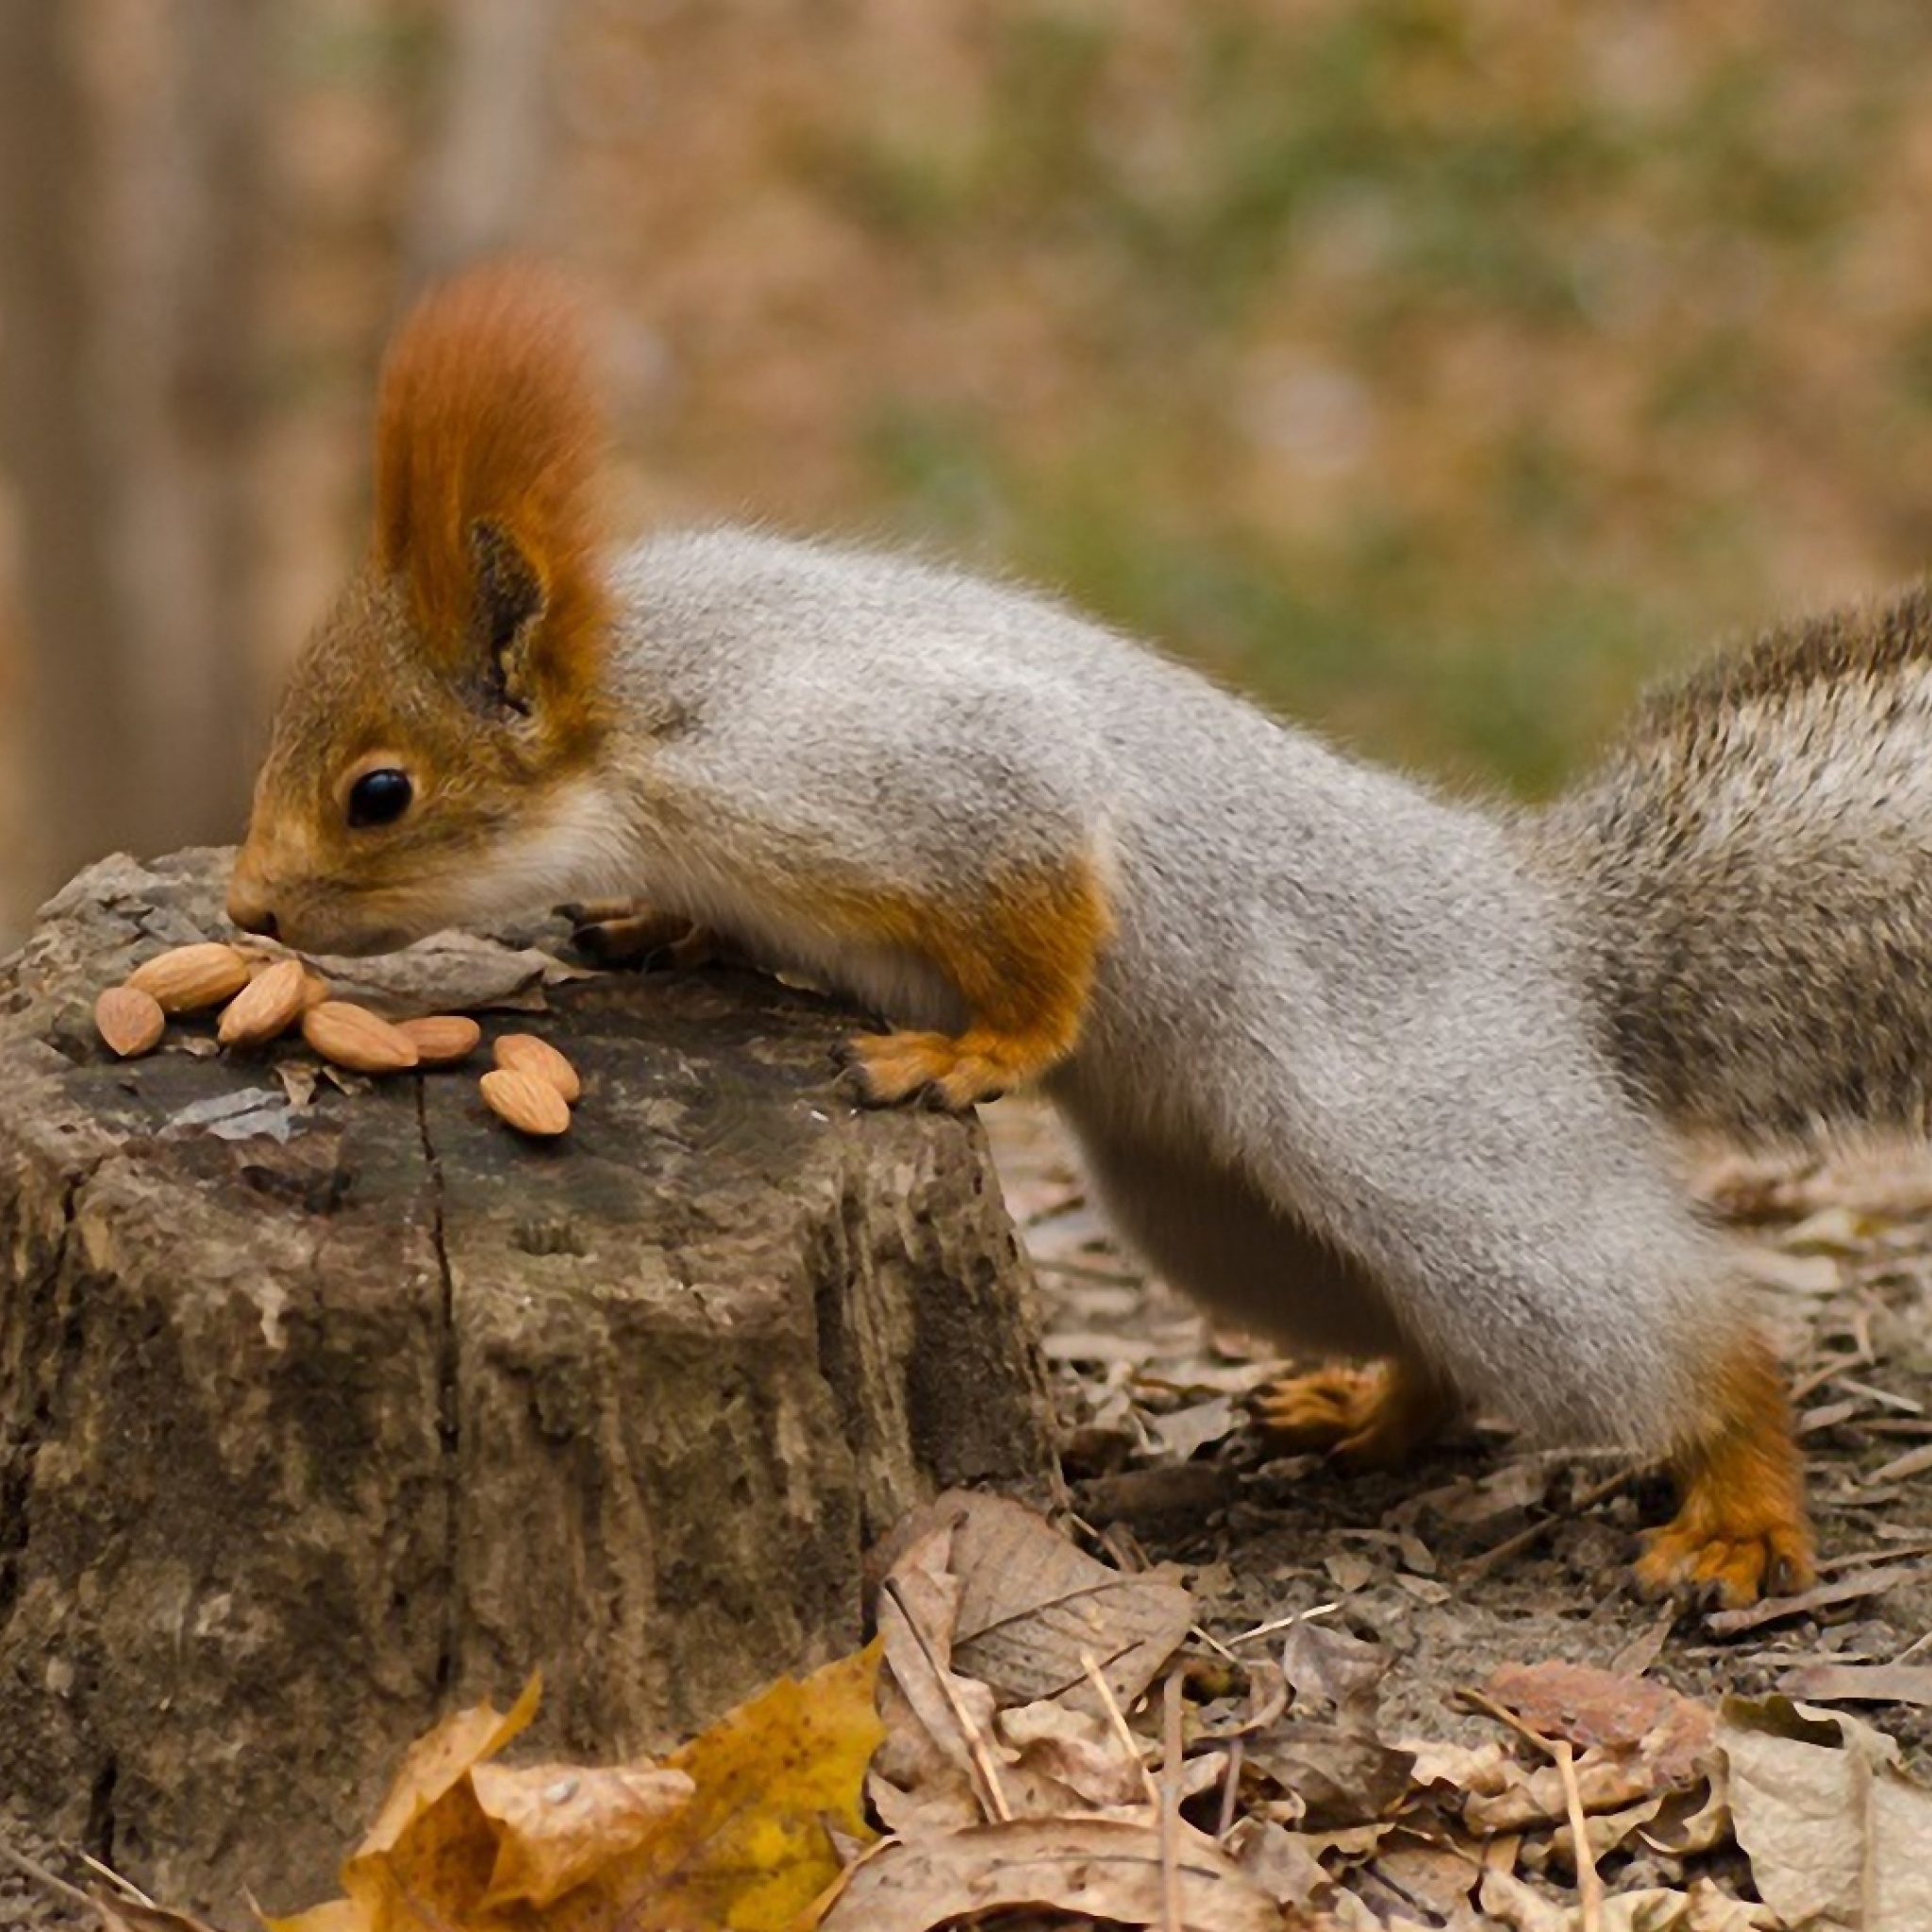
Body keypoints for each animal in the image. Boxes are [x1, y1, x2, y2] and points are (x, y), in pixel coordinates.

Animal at [225, 264, 1916, 1607]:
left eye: (379, 794)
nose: (246, 908)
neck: (637, 708)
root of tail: (1555, 936)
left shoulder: (900, 766)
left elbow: (1038, 886)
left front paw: (976, 1051)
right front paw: (653, 923)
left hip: (1451, 1162)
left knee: (1680, 1340)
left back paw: (1741, 1504)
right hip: (1222, 1217)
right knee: (1433, 1345)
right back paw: (1367, 1416)